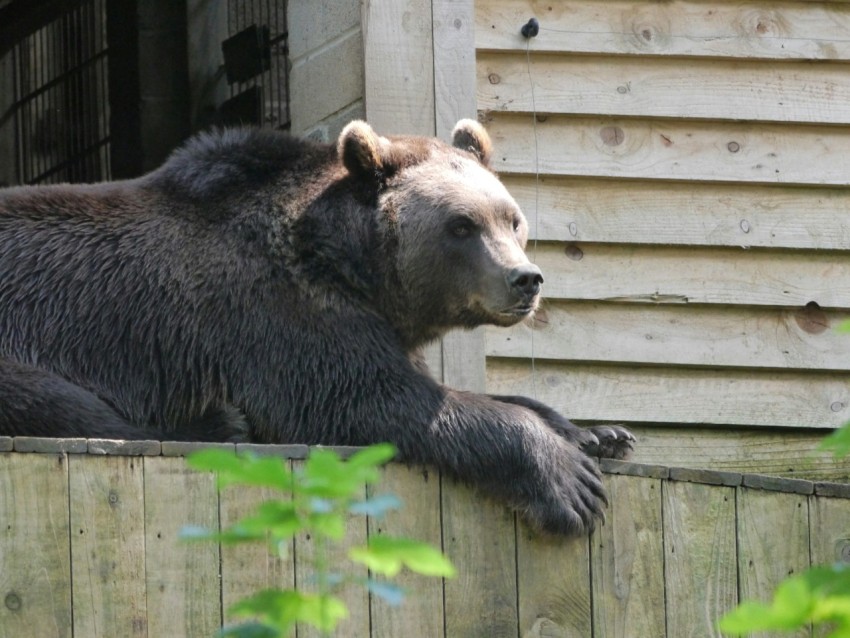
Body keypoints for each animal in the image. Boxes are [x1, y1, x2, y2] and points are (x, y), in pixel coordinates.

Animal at [0, 119, 628, 536]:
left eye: (511, 219)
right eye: (460, 225)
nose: (525, 279)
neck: (349, 265)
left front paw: (598, 433)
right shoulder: (276, 312)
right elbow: (365, 397)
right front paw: (570, 483)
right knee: (61, 402)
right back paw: (219, 423)